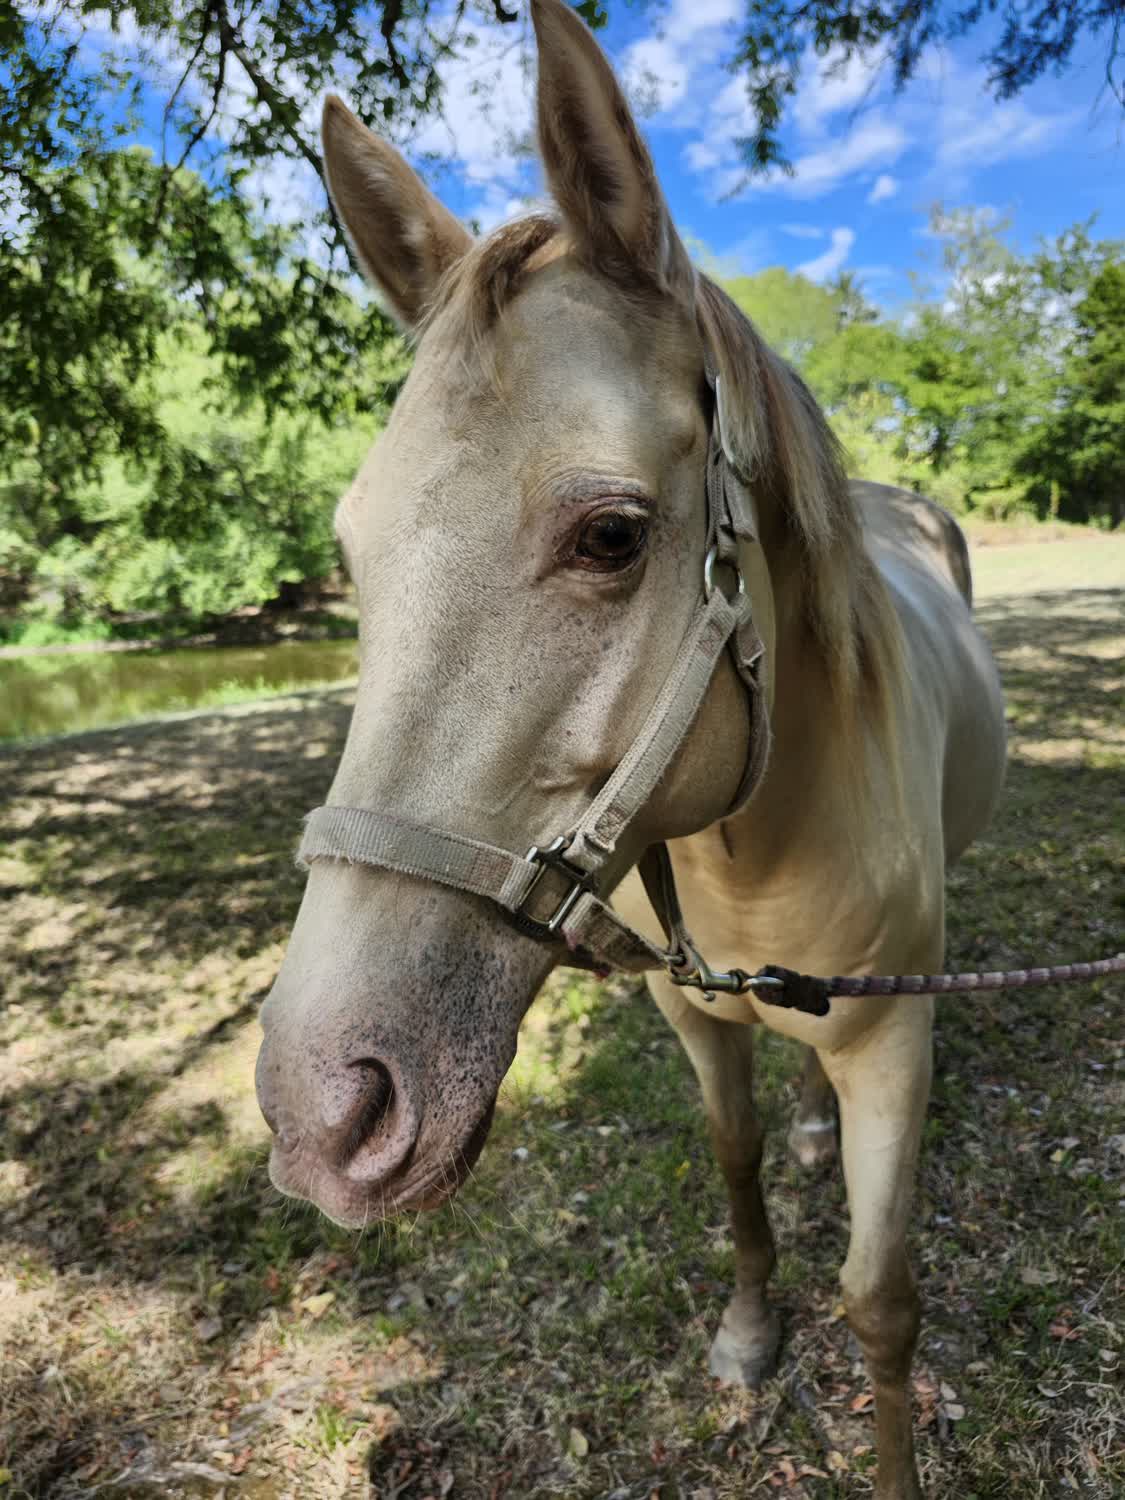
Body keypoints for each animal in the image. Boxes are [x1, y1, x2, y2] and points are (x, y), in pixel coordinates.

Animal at [253, 3, 1007, 1495]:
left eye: (610, 534)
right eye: (352, 554)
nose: (322, 1111)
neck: (753, 849)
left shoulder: (893, 1047)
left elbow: (882, 1302)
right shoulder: (695, 1015)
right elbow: (735, 1164)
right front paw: (748, 1338)